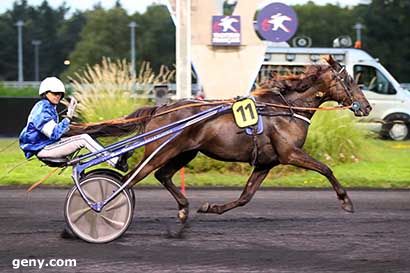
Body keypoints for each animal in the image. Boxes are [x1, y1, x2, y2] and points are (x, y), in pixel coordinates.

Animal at [68, 55, 372, 223]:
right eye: (350, 81)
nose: (367, 107)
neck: (286, 108)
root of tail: (160, 108)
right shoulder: (289, 154)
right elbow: (326, 168)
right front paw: (346, 200)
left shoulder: (266, 162)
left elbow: (245, 197)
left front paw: (211, 207)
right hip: (161, 151)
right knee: (129, 179)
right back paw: (100, 207)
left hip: (185, 152)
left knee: (161, 176)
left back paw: (183, 208)